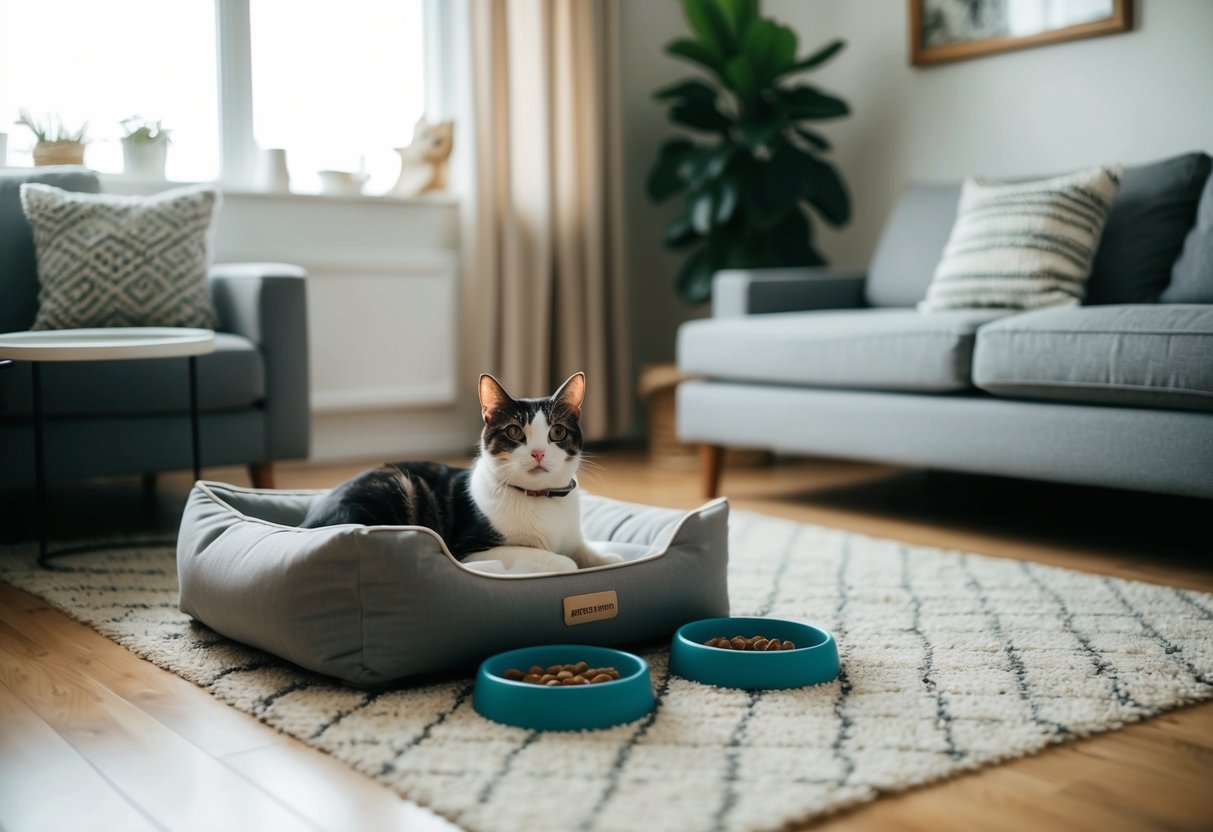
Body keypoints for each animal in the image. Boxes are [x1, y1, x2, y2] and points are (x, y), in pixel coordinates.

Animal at [298, 375, 621, 577]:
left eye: (557, 432)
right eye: (515, 432)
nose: (539, 452)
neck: (541, 499)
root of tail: (306, 523)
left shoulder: (572, 534)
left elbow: (583, 548)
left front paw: (610, 557)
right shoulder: (469, 547)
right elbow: (562, 560)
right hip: (397, 487)